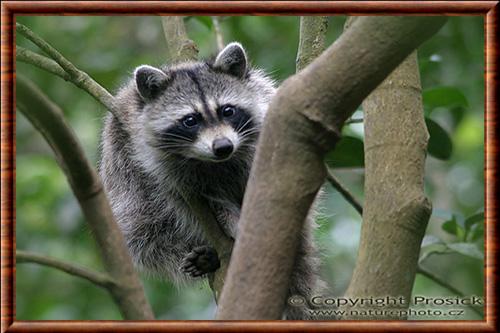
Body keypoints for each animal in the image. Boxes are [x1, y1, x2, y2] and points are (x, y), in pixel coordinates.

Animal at [98, 42, 324, 318]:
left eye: (227, 110)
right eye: (190, 120)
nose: (223, 146)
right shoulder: (152, 166)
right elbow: (184, 204)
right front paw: (228, 217)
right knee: (144, 231)